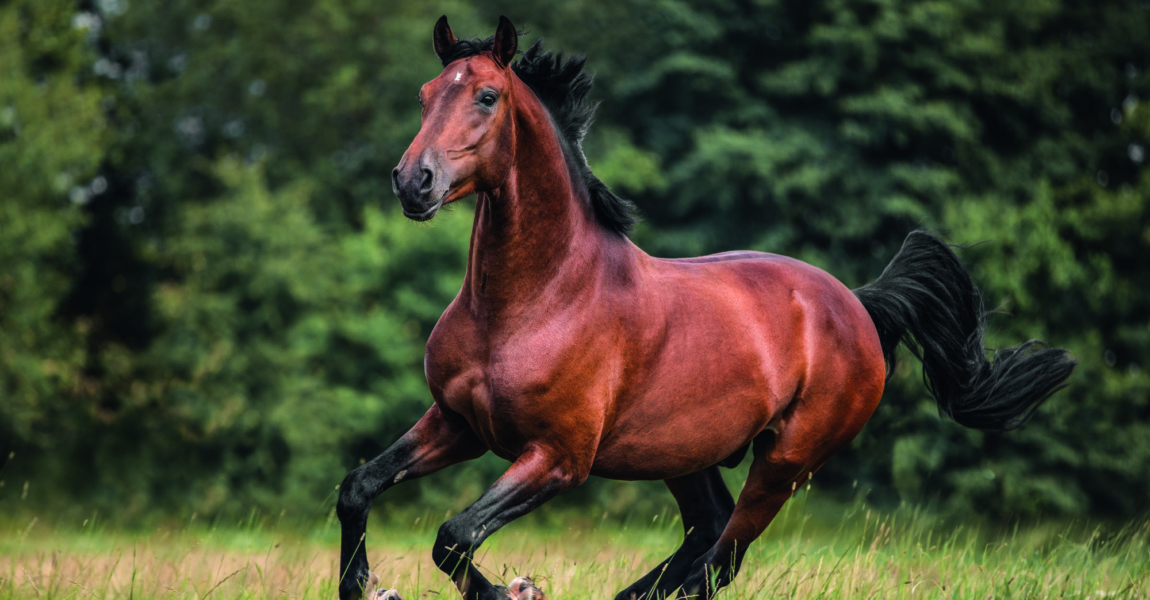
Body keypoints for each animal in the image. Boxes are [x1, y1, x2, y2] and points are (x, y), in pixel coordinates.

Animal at [335, 15, 1071, 597]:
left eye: (487, 95)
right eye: (426, 95)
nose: (413, 181)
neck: (533, 302)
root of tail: (859, 305)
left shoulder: (559, 457)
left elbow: (455, 534)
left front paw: (513, 590)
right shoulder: (459, 423)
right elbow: (359, 488)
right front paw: (364, 585)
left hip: (783, 464)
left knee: (720, 559)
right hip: (684, 456)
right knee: (704, 539)